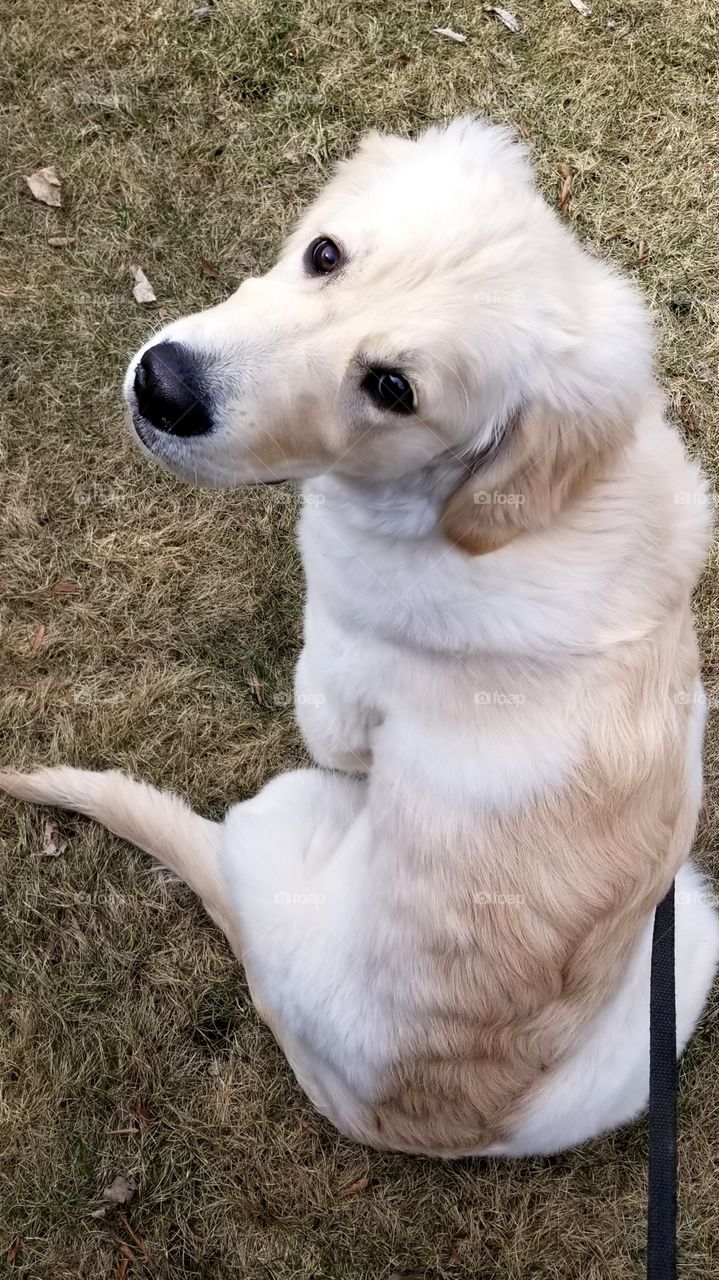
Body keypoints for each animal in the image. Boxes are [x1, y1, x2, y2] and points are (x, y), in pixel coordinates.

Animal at [2, 122, 711, 1162]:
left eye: (391, 388)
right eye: (324, 253)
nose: (163, 388)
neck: (534, 511)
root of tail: (392, 1119)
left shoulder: (334, 686)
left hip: (289, 809)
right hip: (686, 943)